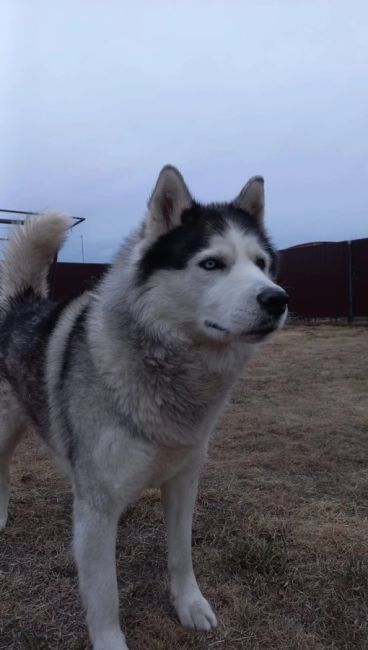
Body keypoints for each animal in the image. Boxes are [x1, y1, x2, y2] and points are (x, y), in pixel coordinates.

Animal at [0, 165, 288, 644]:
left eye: (261, 264)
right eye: (212, 263)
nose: (277, 298)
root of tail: (19, 306)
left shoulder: (184, 482)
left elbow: (181, 554)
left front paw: (190, 606)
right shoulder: (97, 509)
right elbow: (105, 594)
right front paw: (111, 643)